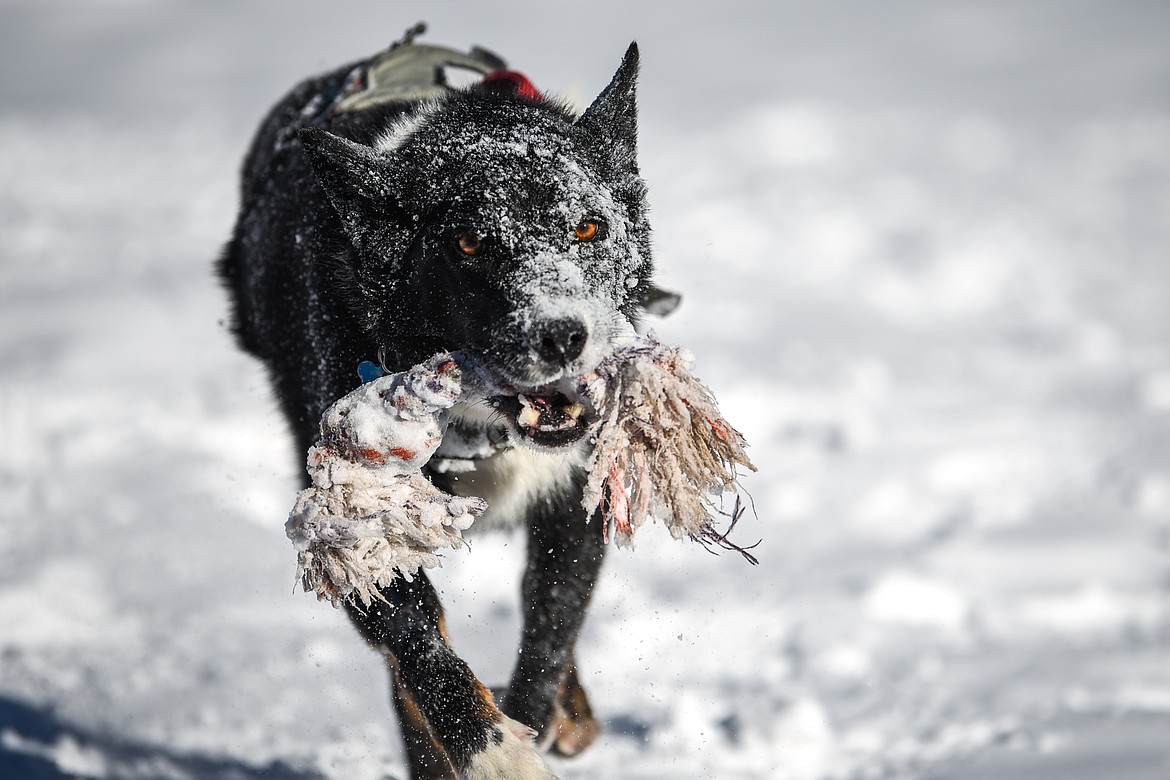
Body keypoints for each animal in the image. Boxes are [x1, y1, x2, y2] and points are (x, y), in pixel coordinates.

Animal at [219, 32, 678, 780]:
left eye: (589, 227)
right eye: (468, 242)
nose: (562, 335)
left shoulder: (573, 497)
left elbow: (551, 625)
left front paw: (536, 718)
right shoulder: (358, 526)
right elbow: (419, 649)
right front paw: (496, 754)